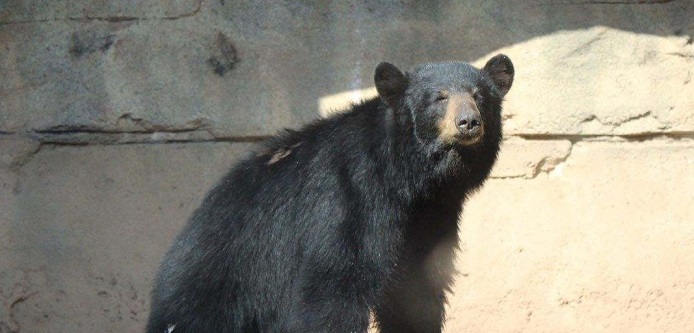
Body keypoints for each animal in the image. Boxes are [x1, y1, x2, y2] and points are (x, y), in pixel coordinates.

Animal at [148, 54, 516, 332]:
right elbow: (333, 286)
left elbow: (417, 287)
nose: (468, 122)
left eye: (479, 96)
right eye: (439, 97)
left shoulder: (432, 215)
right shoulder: (349, 197)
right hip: (222, 286)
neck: (411, 177)